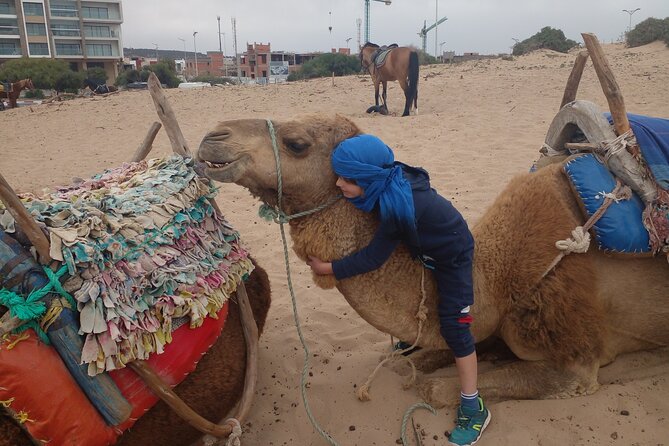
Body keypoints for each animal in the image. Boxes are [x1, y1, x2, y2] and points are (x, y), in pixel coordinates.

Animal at [196, 114, 668, 408]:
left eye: (296, 144)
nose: (213, 137)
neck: (494, 277)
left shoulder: (575, 359)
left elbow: (434, 389)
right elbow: (415, 357)